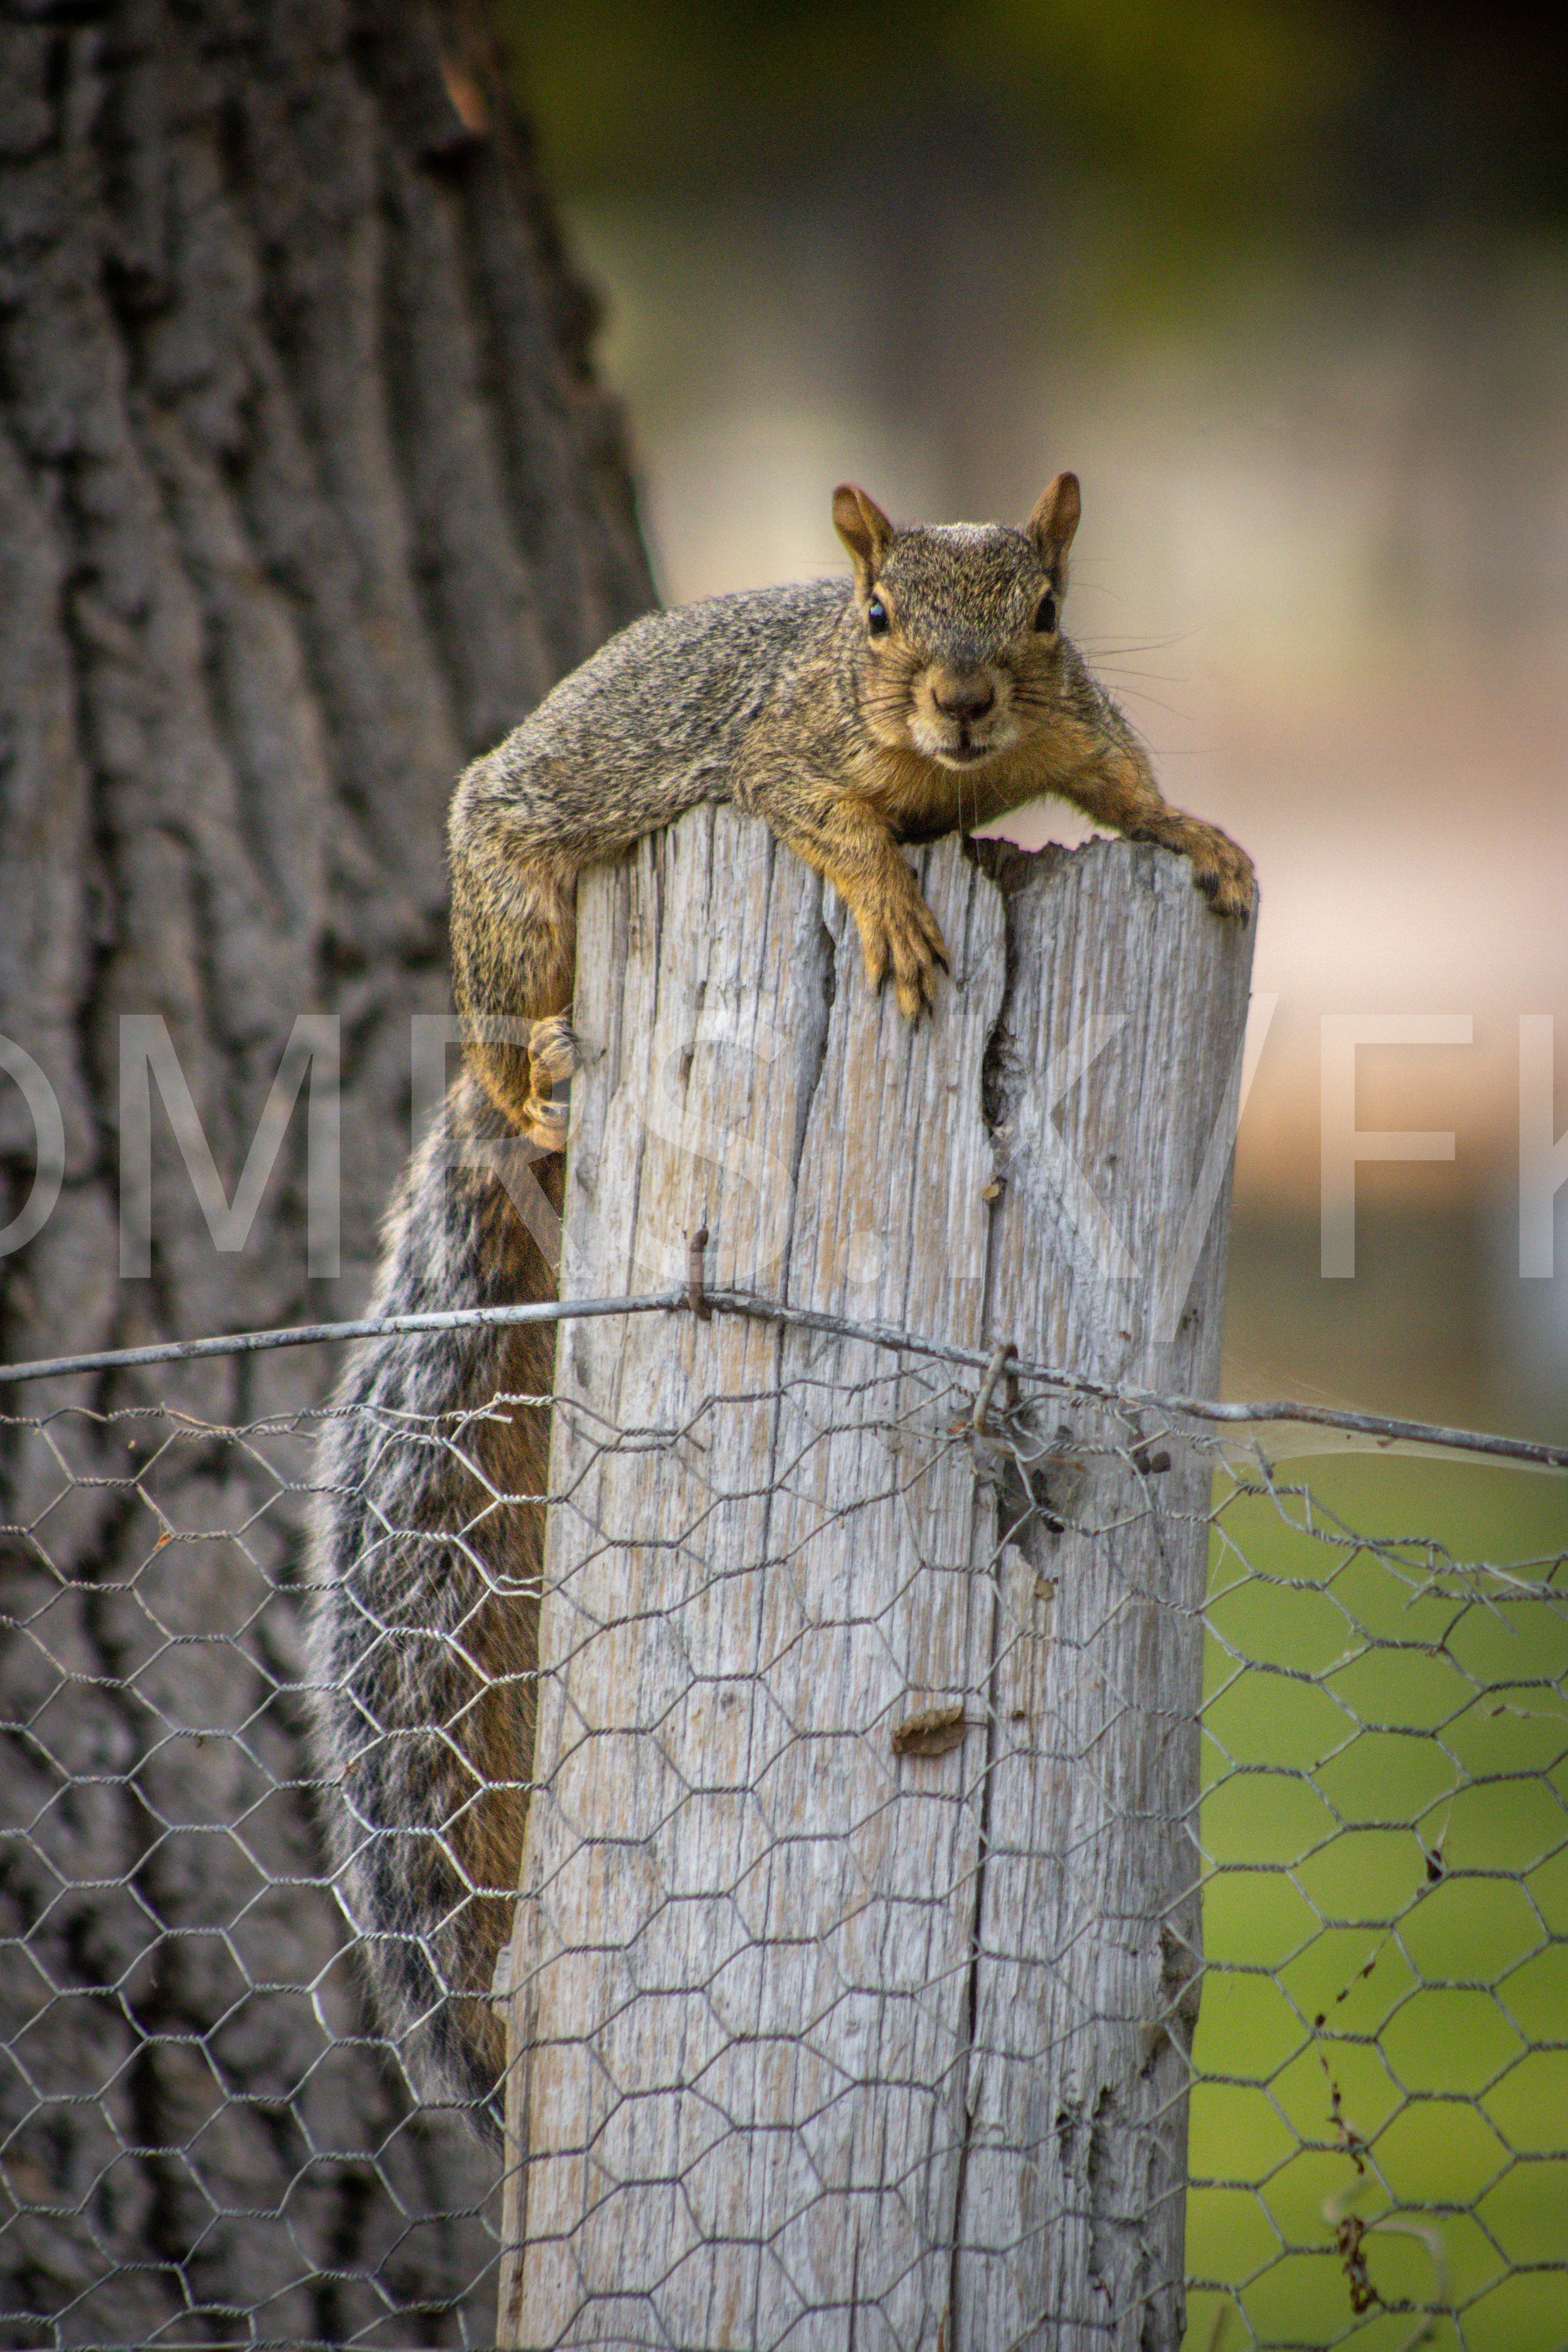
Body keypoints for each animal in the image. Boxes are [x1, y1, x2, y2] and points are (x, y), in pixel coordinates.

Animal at [306, 475, 1255, 2133]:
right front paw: (886, 894)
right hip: (512, 902)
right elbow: (826, 815)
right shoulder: (770, 754)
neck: (948, 766)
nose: (962, 700)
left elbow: (1125, 789)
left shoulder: (1074, 726)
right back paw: (535, 1082)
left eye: (1046, 613)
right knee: (503, 1021)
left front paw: (1195, 834)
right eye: (871, 618)